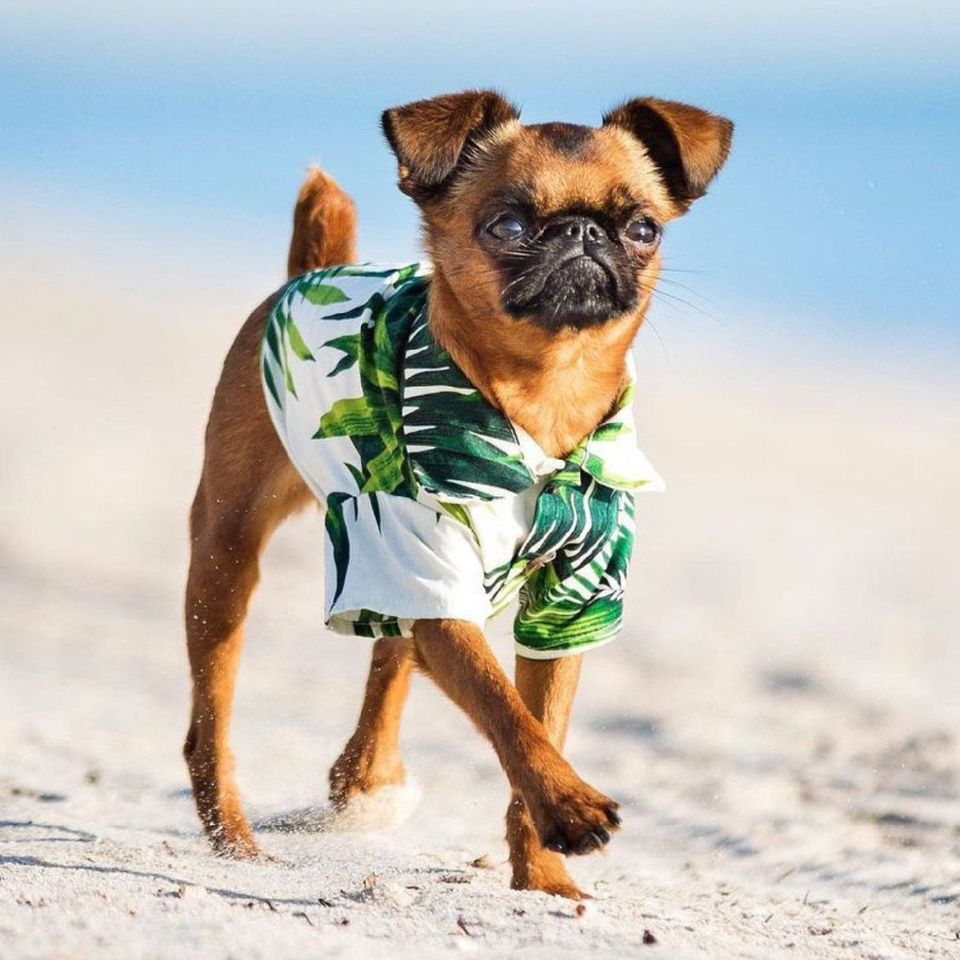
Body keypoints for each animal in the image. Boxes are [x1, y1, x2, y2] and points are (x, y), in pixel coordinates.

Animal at [184, 90, 732, 900]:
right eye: (506, 225)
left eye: (642, 228)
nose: (581, 233)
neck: (543, 397)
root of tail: (315, 270)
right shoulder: (435, 584)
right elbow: (506, 710)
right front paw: (569, 805)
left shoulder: (569, 610)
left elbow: (537, 719)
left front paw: (542, 876)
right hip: (228, 561)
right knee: (210, 723)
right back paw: (236, 839)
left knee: (391, 650)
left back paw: (363, 778)